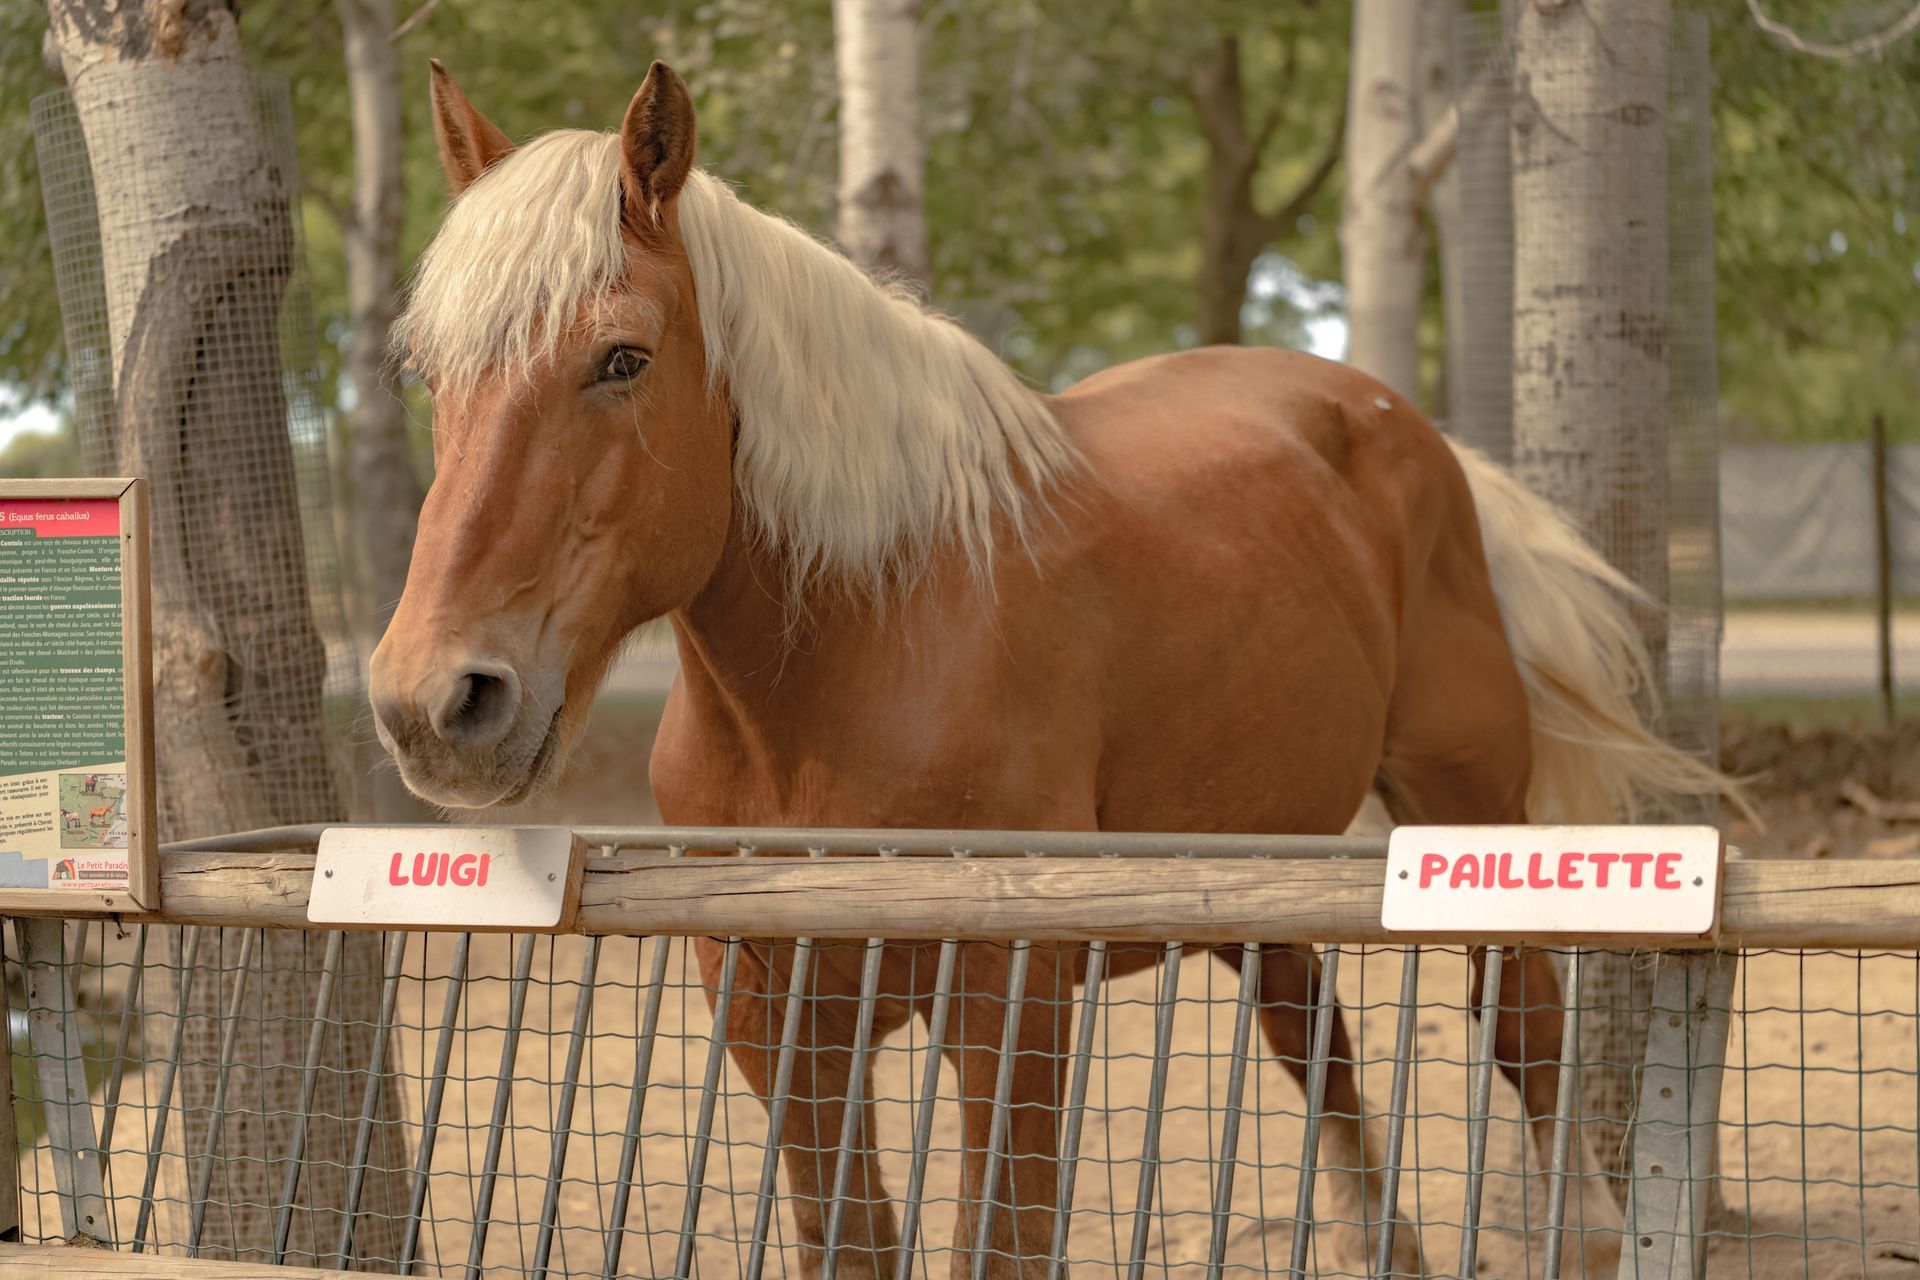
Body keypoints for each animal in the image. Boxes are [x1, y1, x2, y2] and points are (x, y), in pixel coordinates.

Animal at [369, 60, 1739, 1279]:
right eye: (426, 372)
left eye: (622, 357)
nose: (434, 702)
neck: (849, 665)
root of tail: (1405, 429)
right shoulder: (782, 1027)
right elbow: (849, 1245)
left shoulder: (1010, 1012)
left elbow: (1002, 1242)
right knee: (1319, 1037)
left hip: (1462, 816)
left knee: (1528, 1026)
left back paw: (1584, 1232)